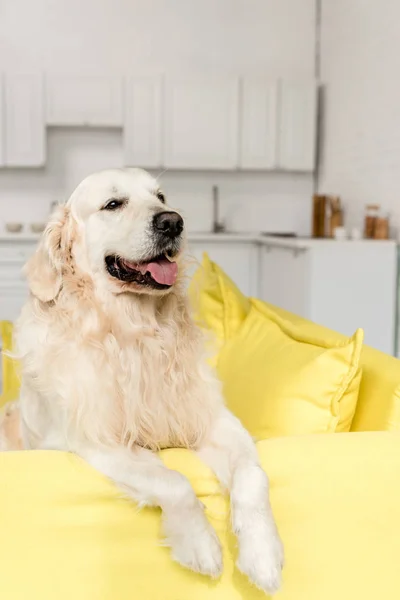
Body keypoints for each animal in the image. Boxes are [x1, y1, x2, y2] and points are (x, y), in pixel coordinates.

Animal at [0, 169, 282, 596]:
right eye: (113, 204)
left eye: (161, 197)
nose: (172, 222)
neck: (135, 335)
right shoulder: (97, 441)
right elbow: (173, 481)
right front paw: (199, 543)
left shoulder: (213, 420)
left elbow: (253, 476)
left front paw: (262, 555)